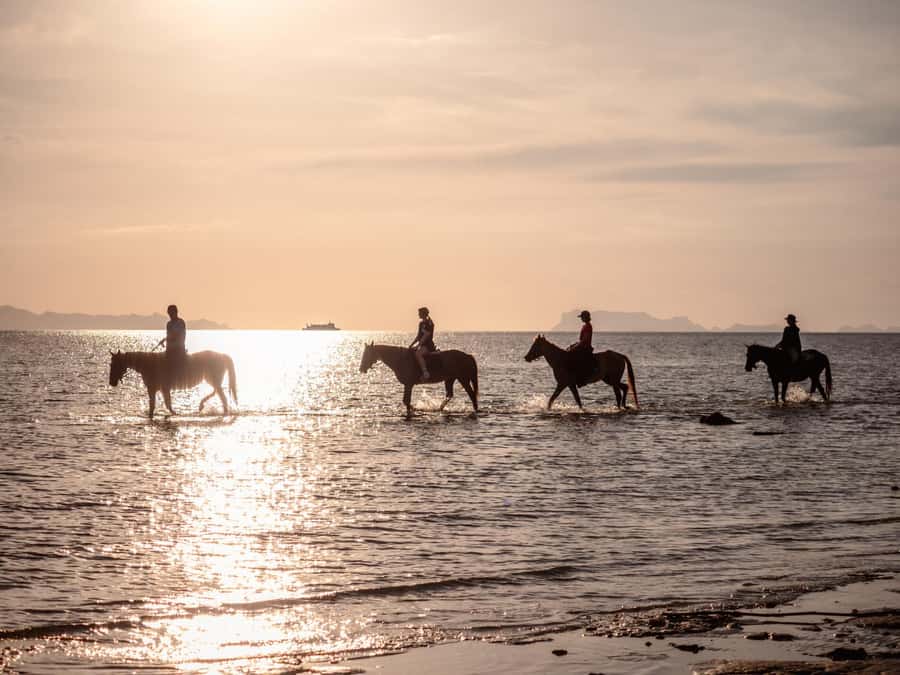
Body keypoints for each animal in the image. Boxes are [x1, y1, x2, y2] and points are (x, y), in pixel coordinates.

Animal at [108, 350, 237, 418]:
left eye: (115, 364)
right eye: (111, 364)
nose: (111, 382)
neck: (149, 364)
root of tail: (222, 355)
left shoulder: (153, 388)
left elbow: (155, 405)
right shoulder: (162, 388)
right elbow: (166, 403)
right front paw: (174, 413)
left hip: (213, 379)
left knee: (222, 397)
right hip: (212, 379)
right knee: (217, 393)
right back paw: (203, 405)